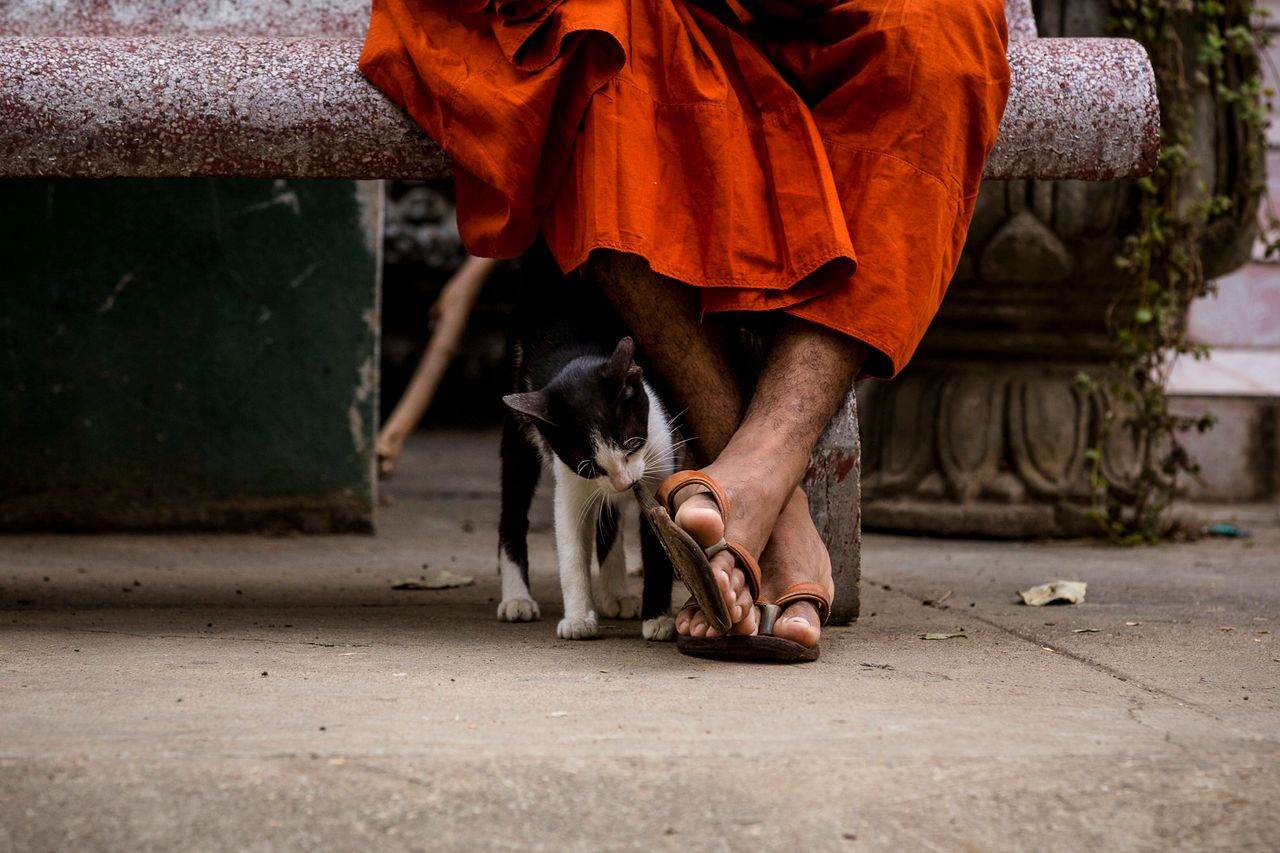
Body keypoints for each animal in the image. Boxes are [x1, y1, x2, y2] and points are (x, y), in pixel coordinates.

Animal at [496, 242, 680, 640]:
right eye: (590, 465)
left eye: (631, 443)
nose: (625, 483)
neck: (576, 356)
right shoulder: (571, 476)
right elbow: (570, 543)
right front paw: (579, 618)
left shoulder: (659, 449)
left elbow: (658, 537)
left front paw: (658, 618)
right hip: (518, 414)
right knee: (513, 507)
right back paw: (517, 597)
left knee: (609, 516)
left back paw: (617, 593)